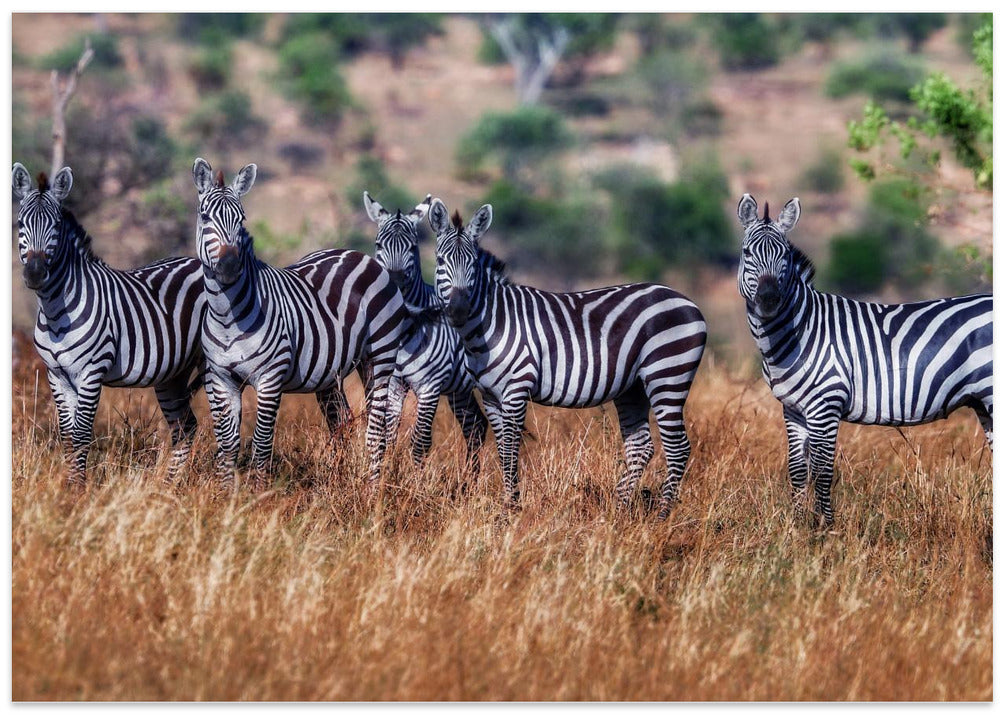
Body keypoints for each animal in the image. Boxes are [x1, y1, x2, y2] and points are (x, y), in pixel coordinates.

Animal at [12, 162, 206, 483]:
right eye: (19, 224)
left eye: (56, 226)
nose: (35, 274)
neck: (54, 310)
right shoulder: (56, 375)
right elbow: (67, 435)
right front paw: (68, 486)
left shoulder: (91, 372)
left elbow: (81, 434)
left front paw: (78, 489)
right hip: (173, 373)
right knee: (185, 427)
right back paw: (168, 488)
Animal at [192, 158, 411, 488]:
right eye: (205, 217)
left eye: (242, 220)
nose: (229, 267)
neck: (227, 316)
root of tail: (357, 254)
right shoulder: (221, 378)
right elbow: (228, 443)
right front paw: (225, 493)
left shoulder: (270, 378)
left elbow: (262, 441)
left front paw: (257, 494)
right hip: (334, 371)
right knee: (343, 419)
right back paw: (337, 482)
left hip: (380, 356)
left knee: (378, 425)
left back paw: (372, 487)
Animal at [363, 191, 489, 478]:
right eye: (378, 245)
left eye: (412, 247)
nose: (394, 284)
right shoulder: (396, 383)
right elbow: (389, 434)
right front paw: (387, 476)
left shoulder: (430, 386)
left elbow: (421, 440)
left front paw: (414, 483)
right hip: (459, 389)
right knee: (475, 425)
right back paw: (470, 481)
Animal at [429, 198, 707, 518]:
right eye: (440, 262)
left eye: (473, 265)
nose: (458, 310)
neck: (490, 324)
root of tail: (689, 302)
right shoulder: (490, 396)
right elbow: (502, 450)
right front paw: (508, 505)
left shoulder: (516, 390)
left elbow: (511, 449)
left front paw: (511, 510)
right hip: (633, 387)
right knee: (641, 446)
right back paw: (617, 513)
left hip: (667, 377)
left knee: (678, 448)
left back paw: (662, 517)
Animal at [737, 193, 993, 525]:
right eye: (746, 253)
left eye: (784, 255)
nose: (768, 299)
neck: (801, 331)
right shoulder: (793, 409)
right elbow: (797, 470)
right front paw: (797, 527)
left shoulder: (825, 405)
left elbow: (822, 471)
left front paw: (825, 529)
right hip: (983, 403)